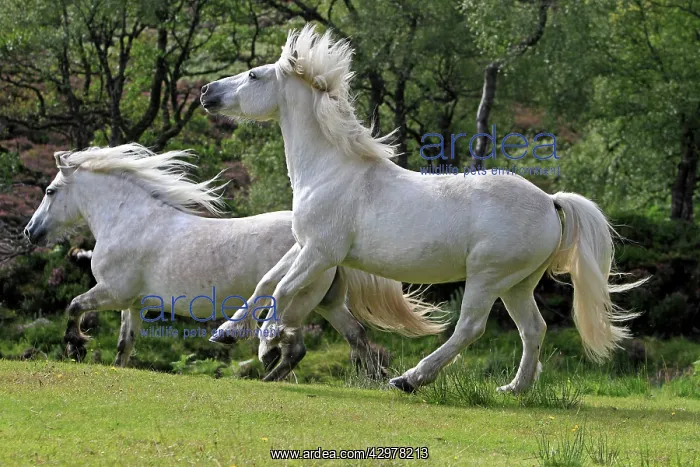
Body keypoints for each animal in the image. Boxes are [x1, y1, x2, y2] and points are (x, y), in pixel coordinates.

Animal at [23, 143, 446, 381]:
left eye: (50, 190)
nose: (30, 232)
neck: (130, 220)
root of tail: (328, 242)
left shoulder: (113, 292)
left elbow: (73, 306)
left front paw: (75, 347)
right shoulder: (133, 303)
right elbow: (125, 344)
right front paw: (114, 367)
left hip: (294, 301)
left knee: (295, 347)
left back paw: (262, 377)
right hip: (326, 303)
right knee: (356, 337)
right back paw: (381, 382)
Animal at [200, 25, 647, 394]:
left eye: (254, 75)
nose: (206, 93)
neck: (332, 171)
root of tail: (550, 201)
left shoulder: (321, 252)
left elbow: (283, 289)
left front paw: (268, 343)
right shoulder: (304, 246)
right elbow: (265, 282)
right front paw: (228, 332)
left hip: (487, 277)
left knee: (469, 328)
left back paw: (409, 379)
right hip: (518, 283)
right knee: (533, 330)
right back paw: (514, 389)